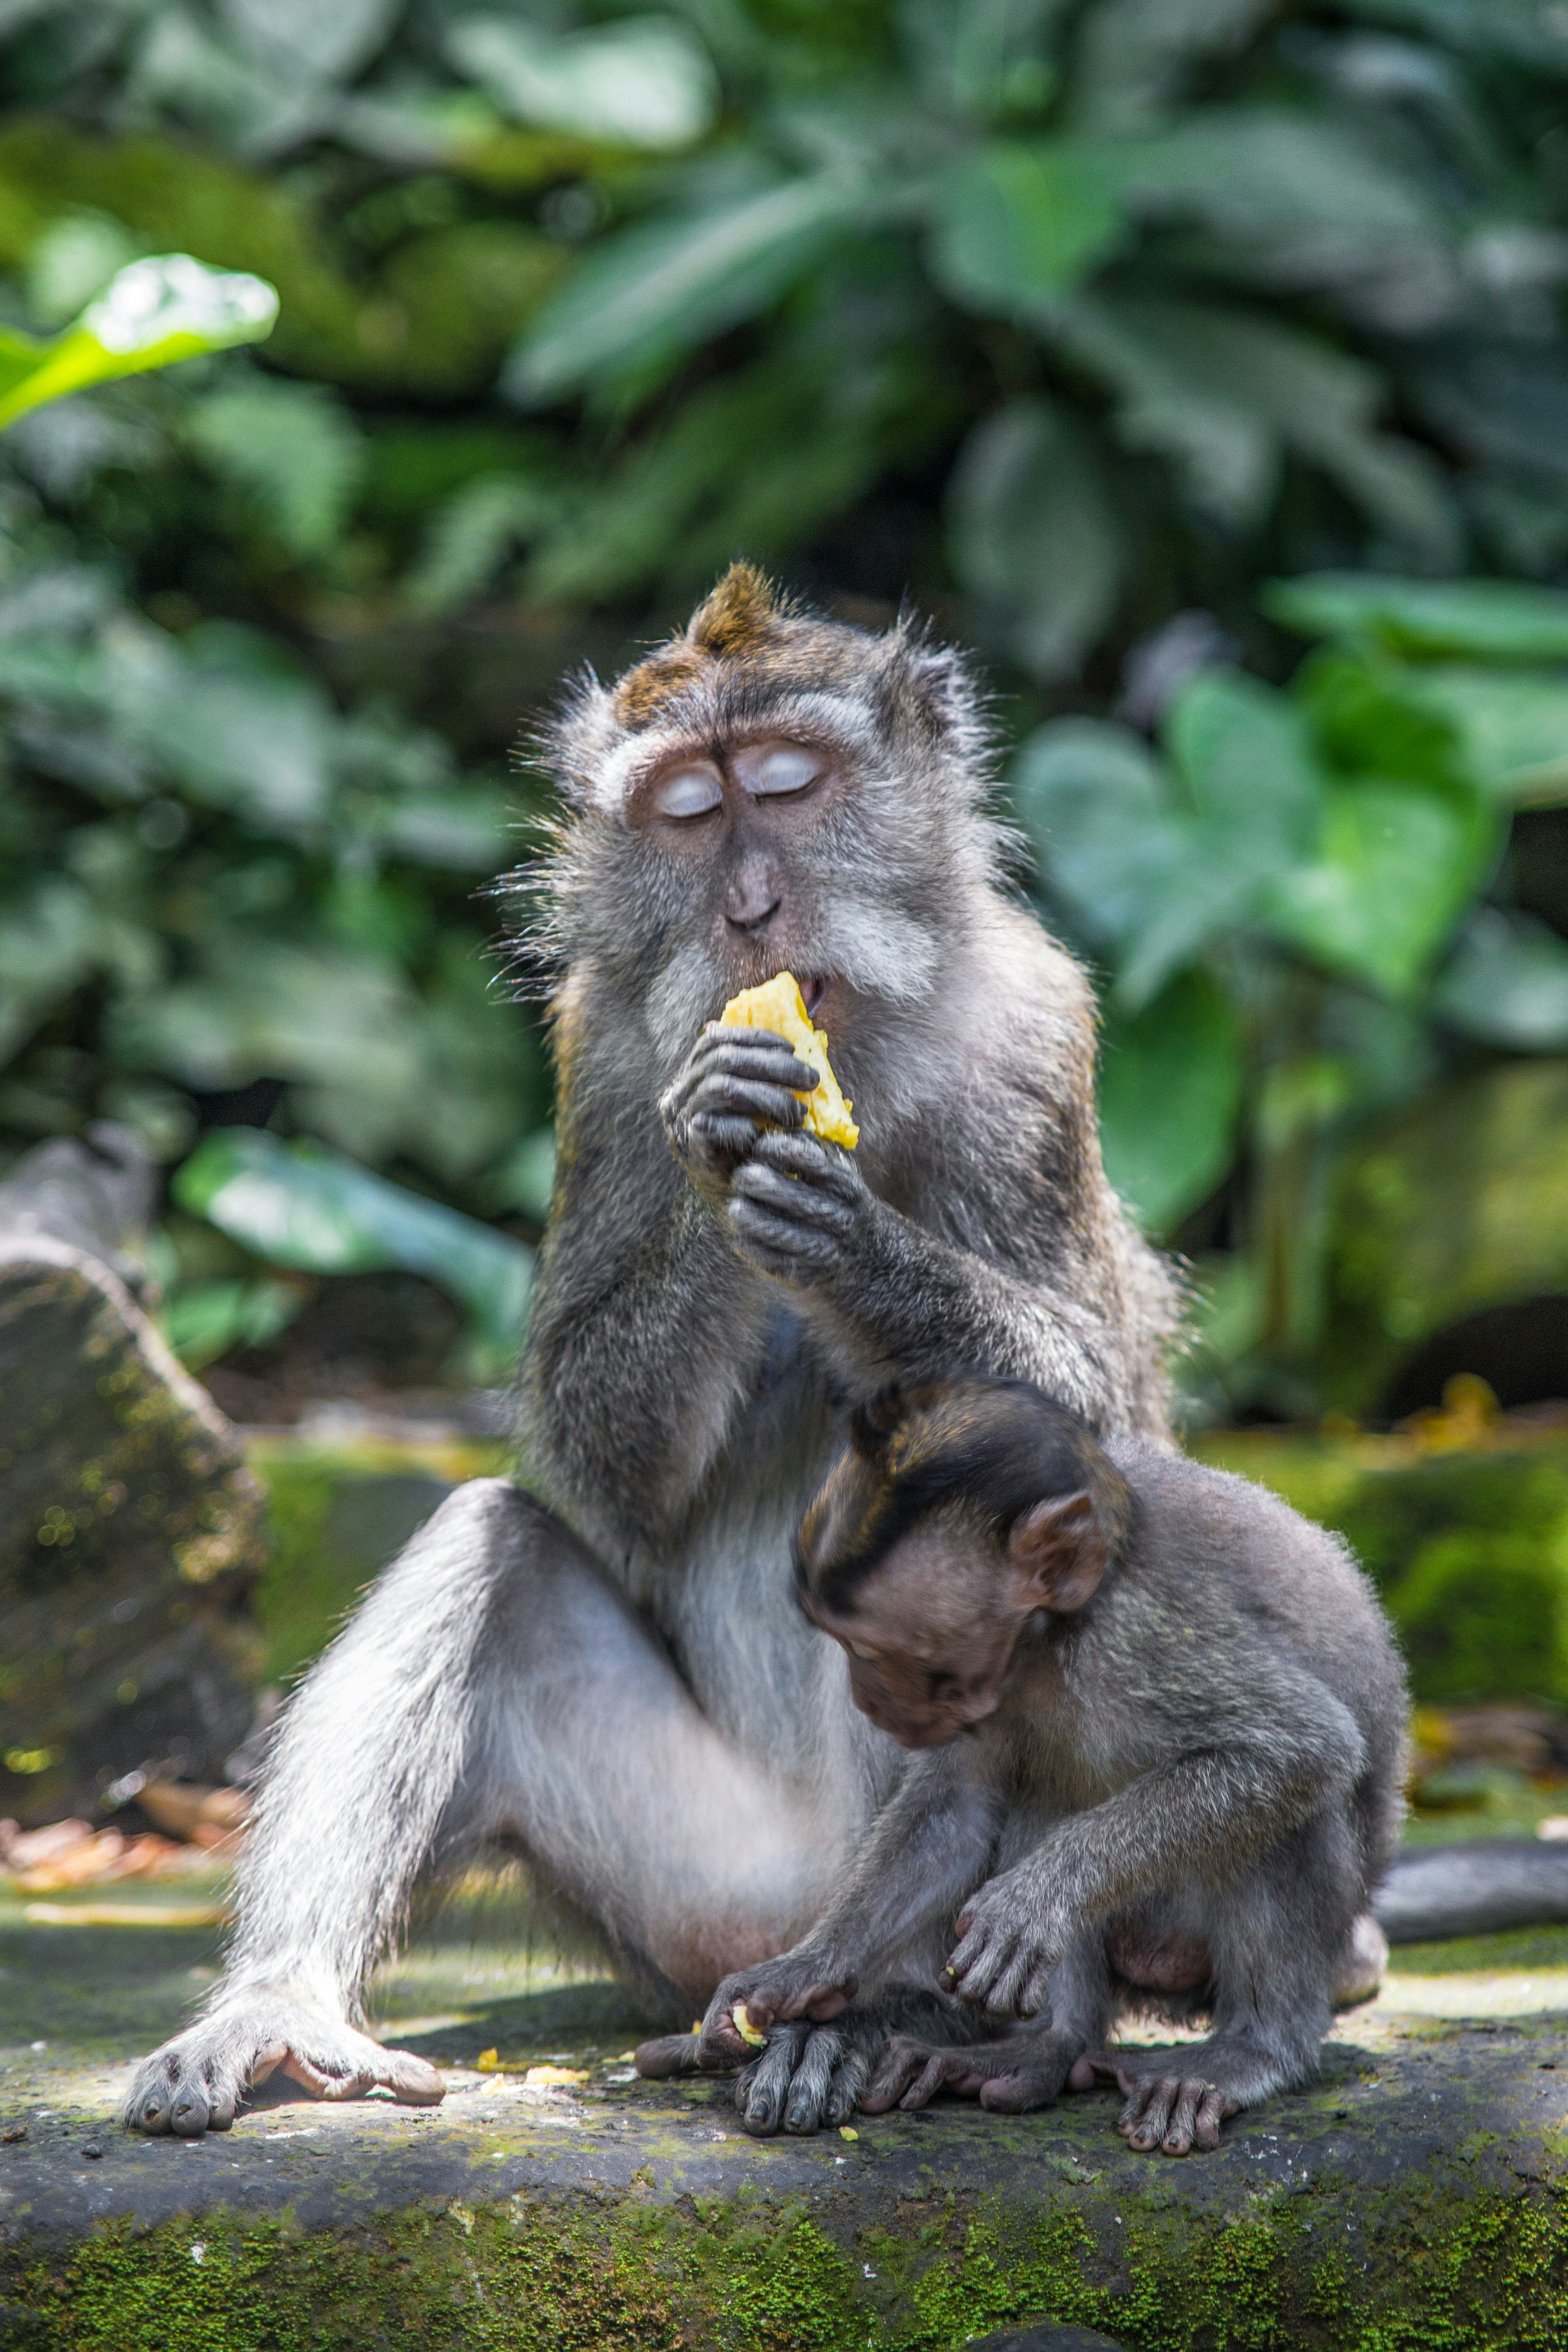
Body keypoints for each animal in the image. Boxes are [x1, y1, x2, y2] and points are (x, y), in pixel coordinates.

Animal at [123, 563, 1184, 2139]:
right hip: (694, 1885)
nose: (749, 906)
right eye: (688, 806)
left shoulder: (1035, 1038)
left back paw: (878, 2019)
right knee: (490, 1547)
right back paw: (282, 2008)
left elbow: (1097, 1436)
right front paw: (715, 1140)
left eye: (789, 783)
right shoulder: (599, 1053)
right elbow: (597, 1457)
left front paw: (855, 1247)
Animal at [676, 1376, 1408, 2157]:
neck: (1044, 1641)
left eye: (873, 1650)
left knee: (1292, 1818)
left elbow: (1298, 1747)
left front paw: (1032, 1902)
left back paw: (1256, 2048)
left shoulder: (1141, 1634)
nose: (864, 1697)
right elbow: (956, 1809)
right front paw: (796, 1974)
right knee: (1045, 1791)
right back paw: (1047, 2044)